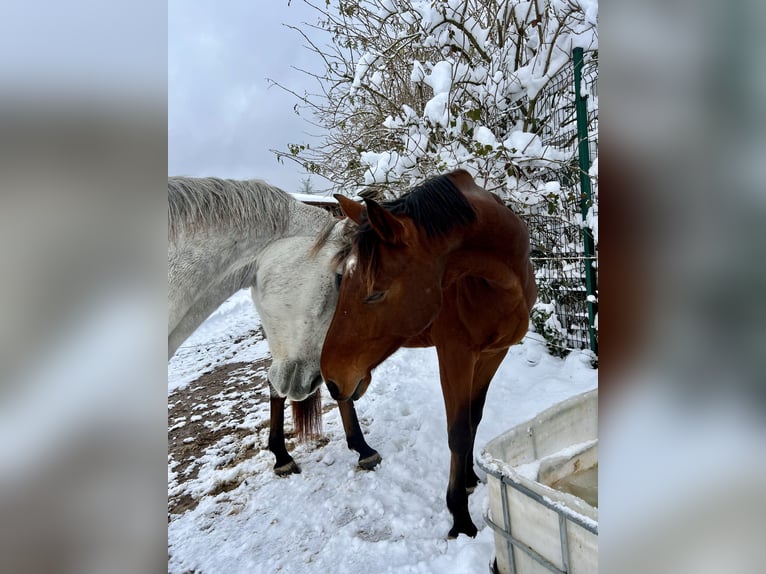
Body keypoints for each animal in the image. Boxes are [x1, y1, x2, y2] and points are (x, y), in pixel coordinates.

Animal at [320, 170, 536, 540]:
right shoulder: (455, 356)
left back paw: (361, 448)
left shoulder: (493, 354)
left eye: (375, 292)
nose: (333, 375)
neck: (498, 287)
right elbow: (458, 431)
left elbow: (473, 418)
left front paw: (469, 480)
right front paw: (460, 518)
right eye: (342, 281)